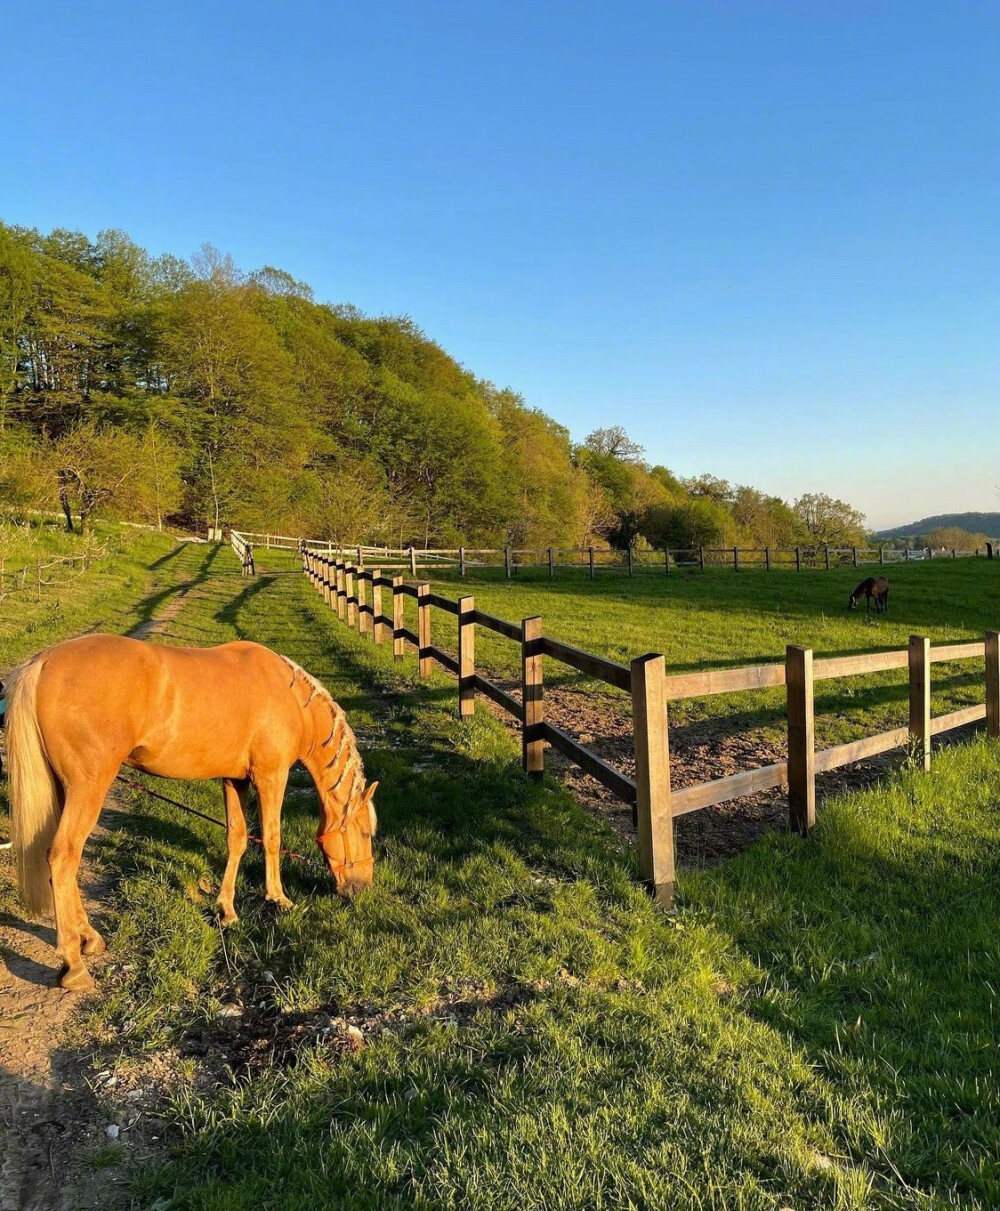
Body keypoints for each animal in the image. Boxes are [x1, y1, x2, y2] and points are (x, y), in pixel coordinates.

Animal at [2, 629, 377, 988]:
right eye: (364, 832)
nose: (362, 888)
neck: (292, 699)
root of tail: (43, 662)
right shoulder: (271, 776)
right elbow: (271, 837)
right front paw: (278, 898)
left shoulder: (234, 780)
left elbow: (238, 838)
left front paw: (227, 910)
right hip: (87, 788)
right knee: (63, 856)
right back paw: (73, 963)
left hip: (62, 789)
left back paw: (89, 938)